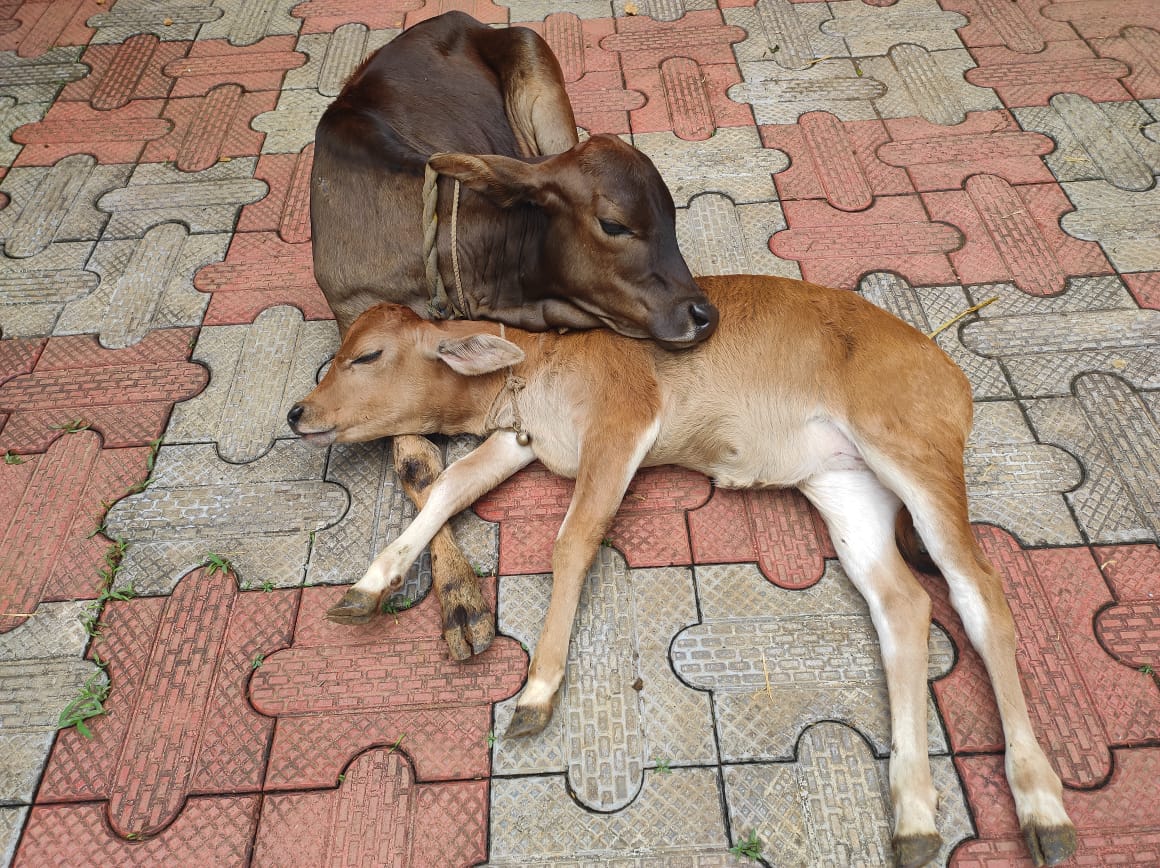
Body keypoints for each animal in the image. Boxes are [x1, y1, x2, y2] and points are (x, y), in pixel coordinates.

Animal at [287, 274, 1077, 868]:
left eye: (368, 356)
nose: (298, 412)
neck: (534, 369)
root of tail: (948, 370)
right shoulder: (521, 441)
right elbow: (448, 487)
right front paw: (368, 585)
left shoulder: (624, 421)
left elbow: (573, 540)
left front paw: (538, 689)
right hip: (846, 486)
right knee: (905, 606)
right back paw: (913, 816)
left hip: (912, 451)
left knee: (981, 594)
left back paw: (1042, 806)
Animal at [311, 12, 717, 660]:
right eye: (614, 224)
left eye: (672, 217)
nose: (702, 312)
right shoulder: (355, 323)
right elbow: (419, 469)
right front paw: (457, 599)